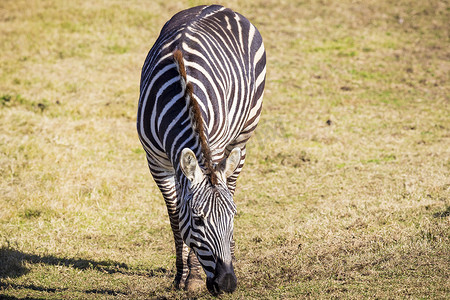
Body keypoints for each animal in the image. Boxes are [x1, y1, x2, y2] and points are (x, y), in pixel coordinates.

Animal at [135, 4, 266, 296]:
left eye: (233, 217)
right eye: (197, 220)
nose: (227, 284)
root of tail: (218, 6)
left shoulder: (214, 149)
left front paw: (193, 278)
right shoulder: (156, 162)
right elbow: (175, 217)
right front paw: (181, 275)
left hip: (242, 135)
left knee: (232, 181)